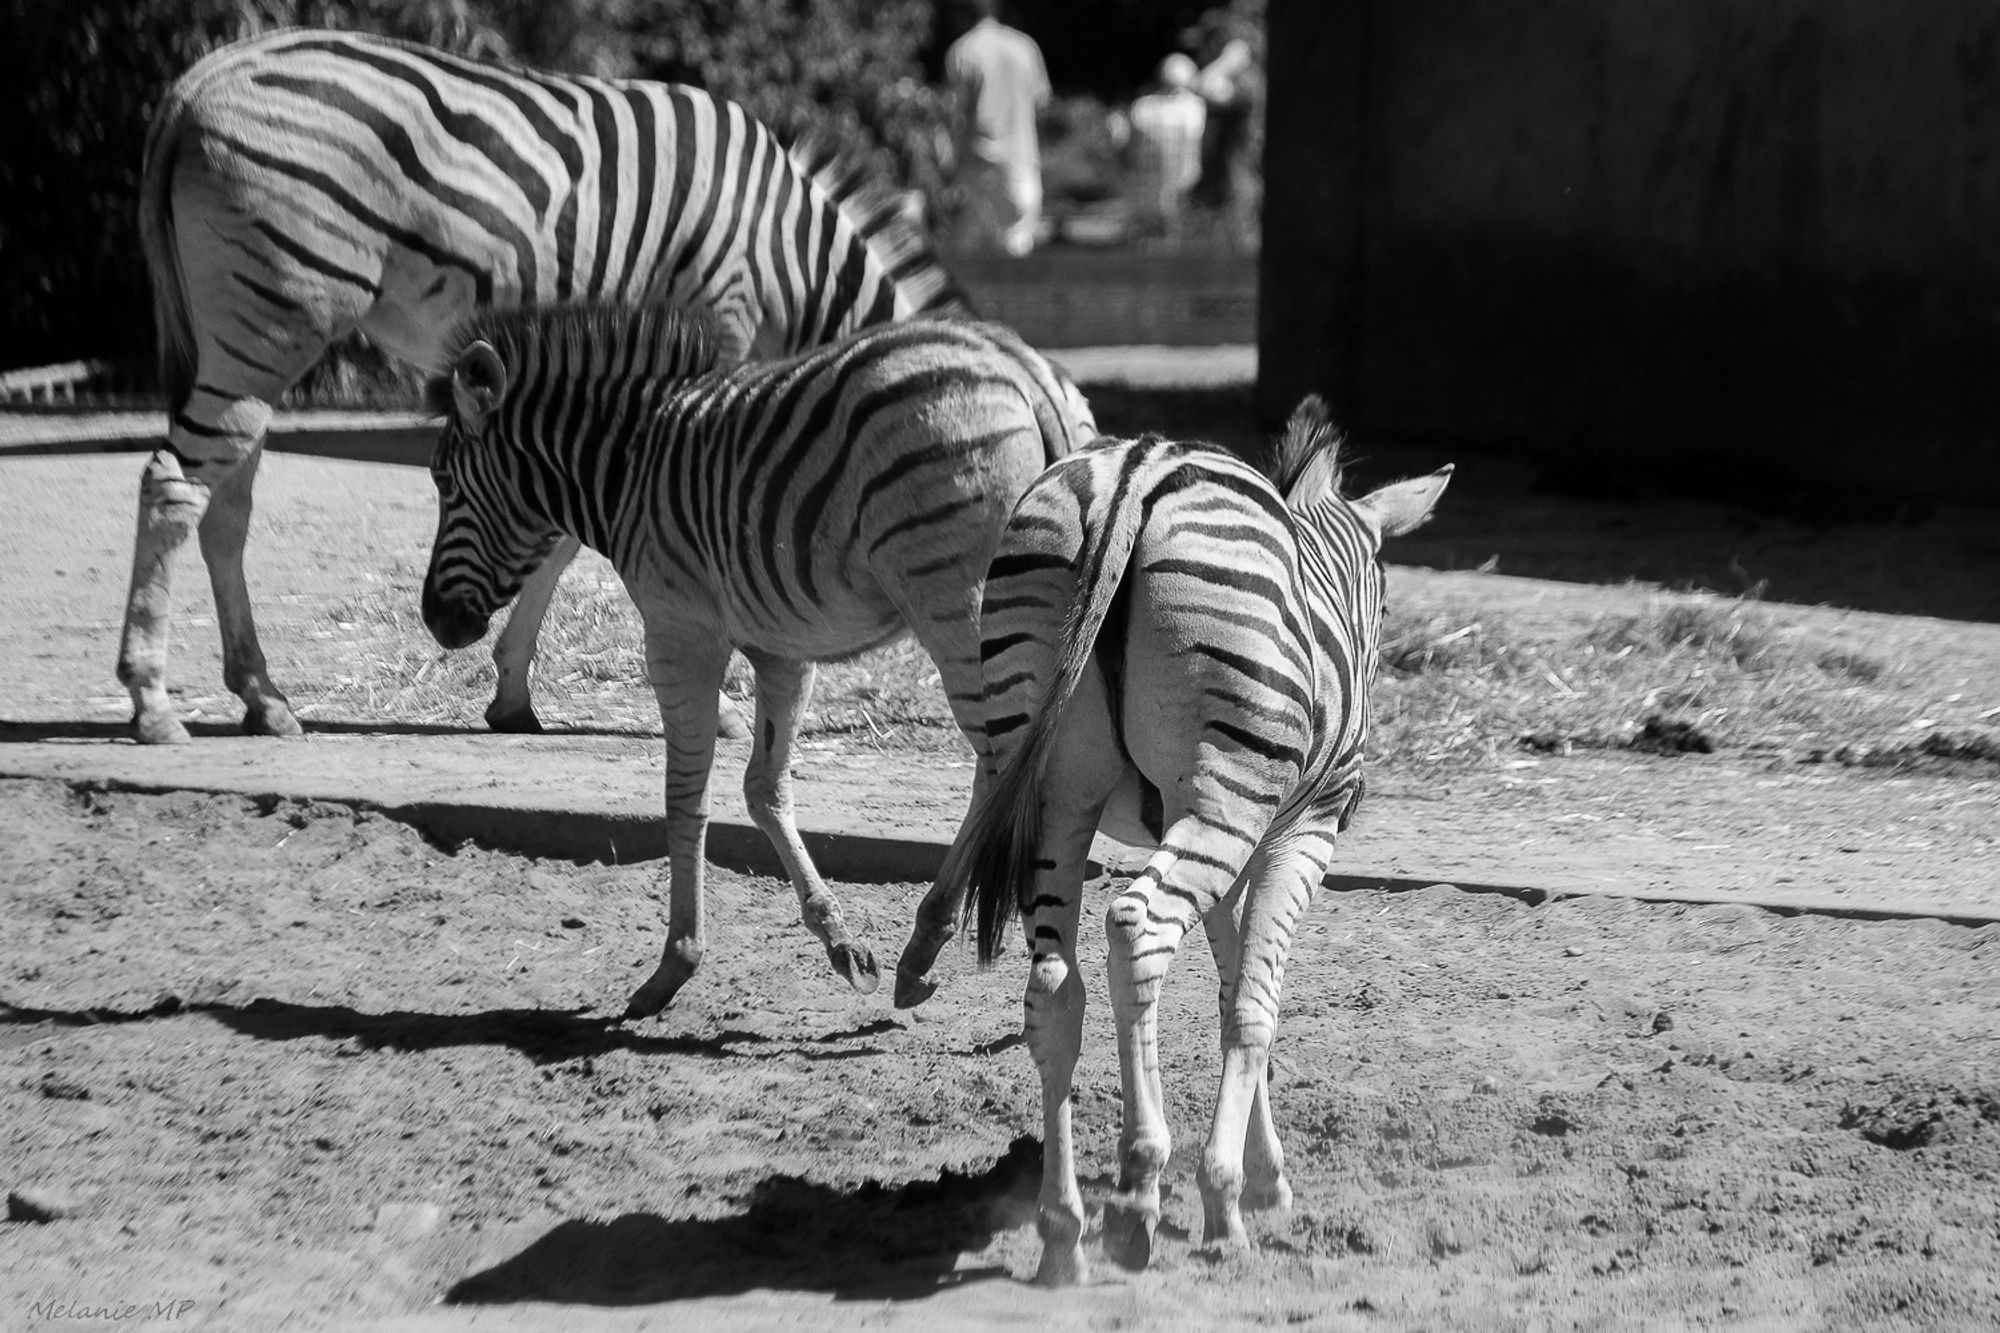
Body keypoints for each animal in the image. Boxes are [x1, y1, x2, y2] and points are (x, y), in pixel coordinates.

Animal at [117, 28, 992, 748]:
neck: (789, 259)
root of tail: (197, 83)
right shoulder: (715, 332)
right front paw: (725, 703)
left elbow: (561, 533)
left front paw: (511, 692)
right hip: (271, 319)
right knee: (173, 484)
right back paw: (153, 701)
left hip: (251, 335)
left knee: (226, 506)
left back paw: (262, 698)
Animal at [424, 296, 1104, 1012]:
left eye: (442, 480)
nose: (436, 623)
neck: (626, 467)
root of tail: (1017, 364)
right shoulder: (785, 648)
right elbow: (764, 790)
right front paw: (838, 941)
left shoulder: (678, 631)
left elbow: (685, 794)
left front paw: (676, 961)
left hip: (958, 603)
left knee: (1004, 768)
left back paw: (953, 943)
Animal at [900, 400, 1448, 1280]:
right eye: (1389, 606)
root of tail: (1136, 471)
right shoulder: (1297, 829)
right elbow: (1255, 1003)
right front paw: (1232, 1193)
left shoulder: (1218, 832)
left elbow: (1230, 987)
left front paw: (1260, 1173)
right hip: (1220, 798)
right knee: (1139, 929)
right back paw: (1135, 1193)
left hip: (1060, 793)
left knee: (1057, 985)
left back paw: (1064, 1228)